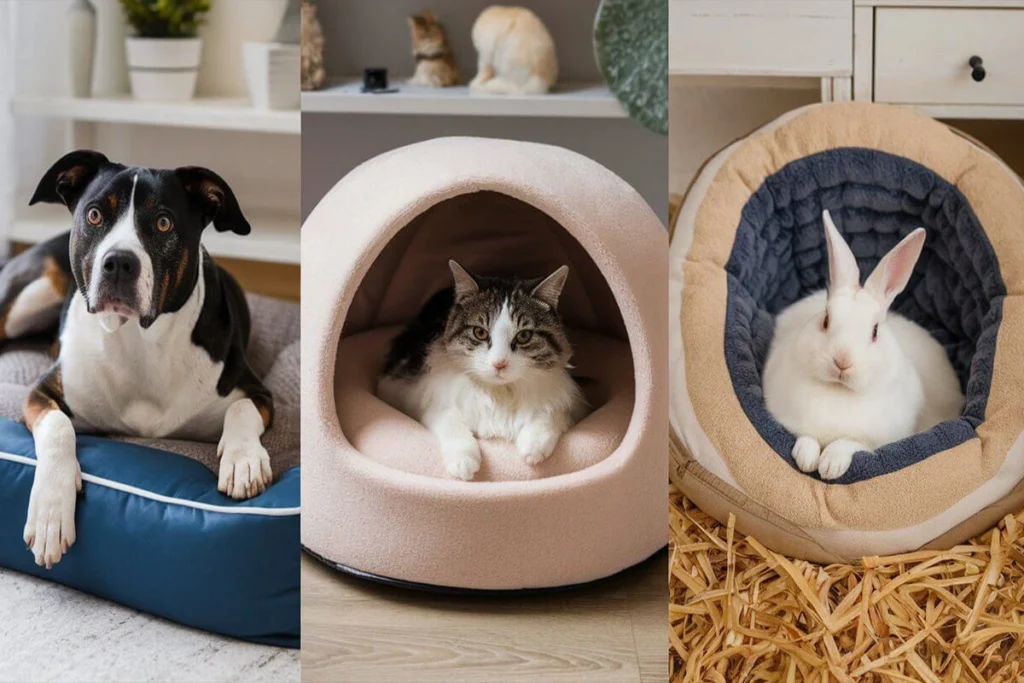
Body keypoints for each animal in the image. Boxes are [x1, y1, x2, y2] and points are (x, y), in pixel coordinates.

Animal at [1, 152, 272, 569]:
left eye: (163, 222)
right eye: (95, 215)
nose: (118, 262)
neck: (138, 341)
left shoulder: (256, 390)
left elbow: (240, 408)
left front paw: (243, 461)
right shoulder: (40, 392)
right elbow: (59, 427)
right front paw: (50, 512)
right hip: (34, 292)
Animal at [376, 262, 585, 481]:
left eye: (524, 336)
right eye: (480, 332)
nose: (499, 364)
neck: (501, 393)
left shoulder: (570, 401)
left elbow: (553, 412)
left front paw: (533, 446)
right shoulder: (421, 397)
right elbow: (450, 422)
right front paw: (463, 461)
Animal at [765, 209, 962, 481]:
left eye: (875, 331)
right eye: (825, 320)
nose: (842, 361)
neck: (840, 390)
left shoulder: (873, 440)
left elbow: (848, 443)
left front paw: (830, 466)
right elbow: (807, 438)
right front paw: (807, 460)